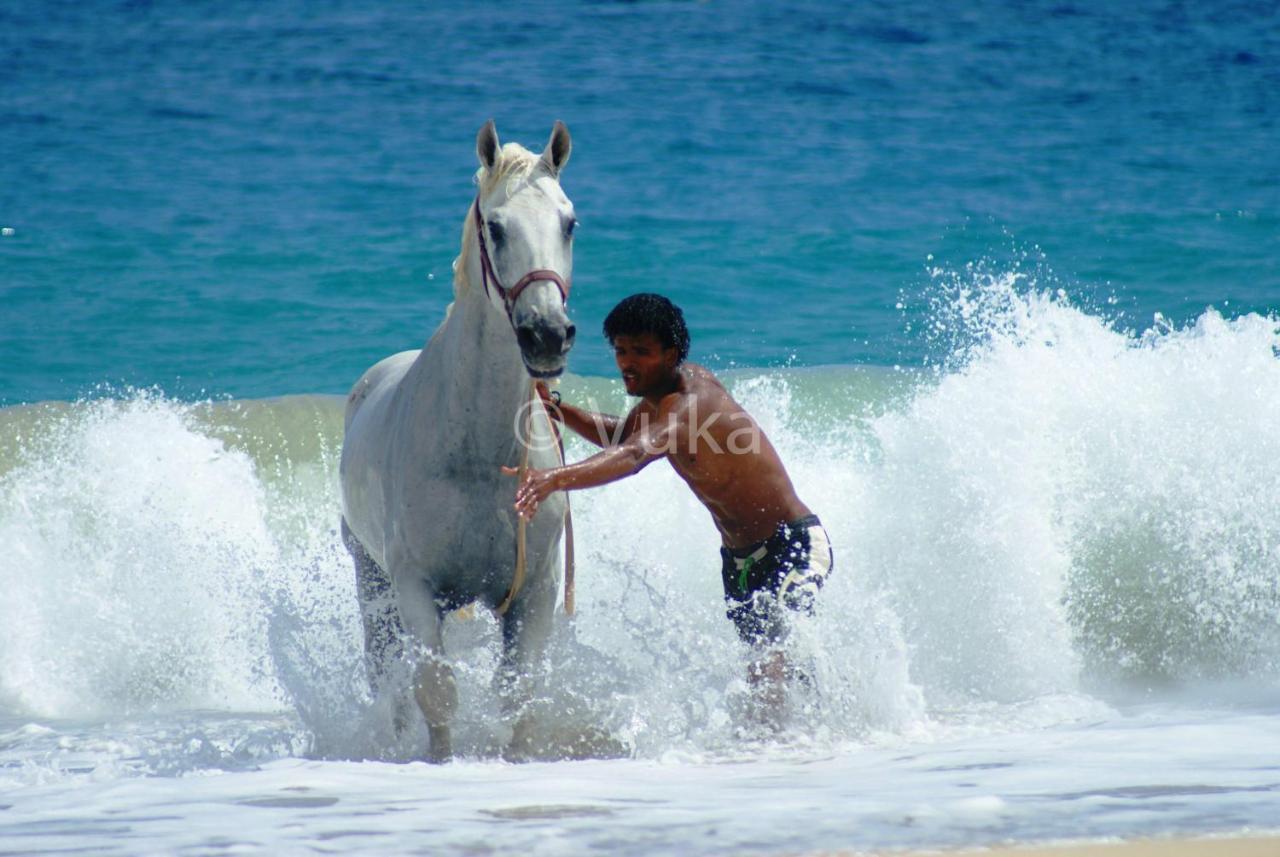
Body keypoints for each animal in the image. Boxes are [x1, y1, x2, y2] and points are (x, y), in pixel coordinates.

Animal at [343, 120, 578, 767]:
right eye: (495, 227)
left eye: (569, 222)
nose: (547, 335)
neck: (479, 456)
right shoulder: (415, 590)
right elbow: (436, 692)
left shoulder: (534, 596)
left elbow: (519, 698)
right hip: (372, 586)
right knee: (388, 676)